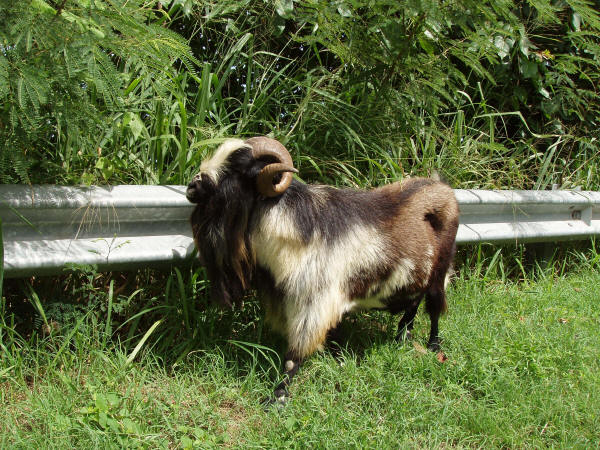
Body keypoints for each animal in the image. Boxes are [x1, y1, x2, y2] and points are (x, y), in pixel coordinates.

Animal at [188, 136, 460, 400]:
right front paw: (341, 361)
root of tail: (443, 188)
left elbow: (293, 357)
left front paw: (278, 397)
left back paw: (433, 346)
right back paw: (403, 336)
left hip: (440, 271)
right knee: (414, 301)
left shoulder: (313, 302)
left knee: (434, 307)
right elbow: (335, 338)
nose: (192, 186)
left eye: (239, 168)